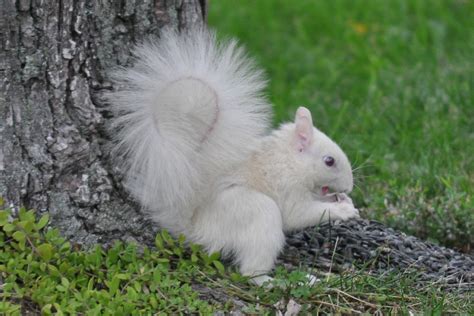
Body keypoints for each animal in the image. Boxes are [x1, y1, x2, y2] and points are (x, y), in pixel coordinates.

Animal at [108, 28, 360, 286]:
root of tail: (197, 230)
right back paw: (277, 282)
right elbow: (298, 214)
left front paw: (345, 201)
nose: (349, 187)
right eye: (329, 161)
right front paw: (344, 211)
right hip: (254, 211)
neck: (289, 160)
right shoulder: (286, 186)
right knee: (251, 272)